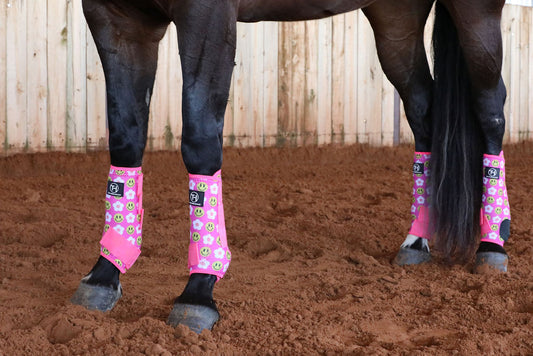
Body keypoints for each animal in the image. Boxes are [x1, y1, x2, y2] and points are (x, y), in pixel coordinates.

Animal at [69, 0, 508, 334]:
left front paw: (199, 290)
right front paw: (105, 273)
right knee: (424, 113)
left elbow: (199, 140)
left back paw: (493, 245)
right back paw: (418, 239)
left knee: (490, 109)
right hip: (396, 21)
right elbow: (125, 138)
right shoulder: (115, 18)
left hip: (477, 13)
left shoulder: (206, 16)